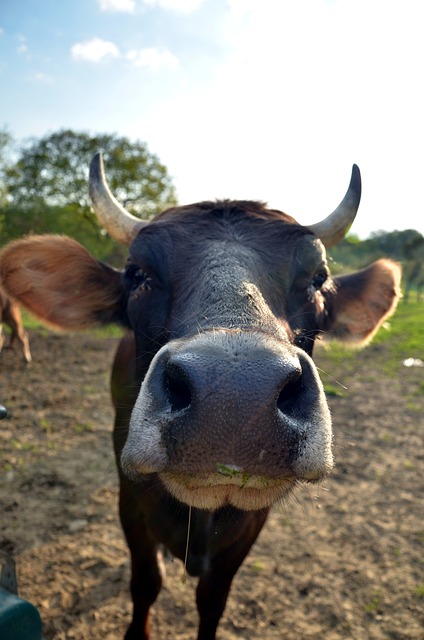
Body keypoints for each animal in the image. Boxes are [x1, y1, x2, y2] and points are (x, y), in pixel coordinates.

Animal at [0, 156, 400, 640]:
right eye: (138, 274)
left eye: (317, 279)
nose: (234, 398)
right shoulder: (130, 504)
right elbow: (145, 582)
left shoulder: (250, 528)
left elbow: (212, 601)